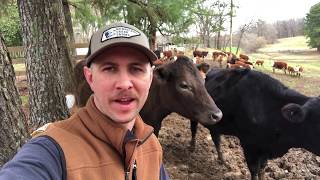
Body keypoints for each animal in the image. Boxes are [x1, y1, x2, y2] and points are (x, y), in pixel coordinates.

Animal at [190, 68, 320, 179]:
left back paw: (222, 160)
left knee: (216, 139)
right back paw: (192, 147)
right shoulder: (249, 145)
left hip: (216, 124)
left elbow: (262, 168)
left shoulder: (265, 147)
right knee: (193, 129)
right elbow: (254, 169)